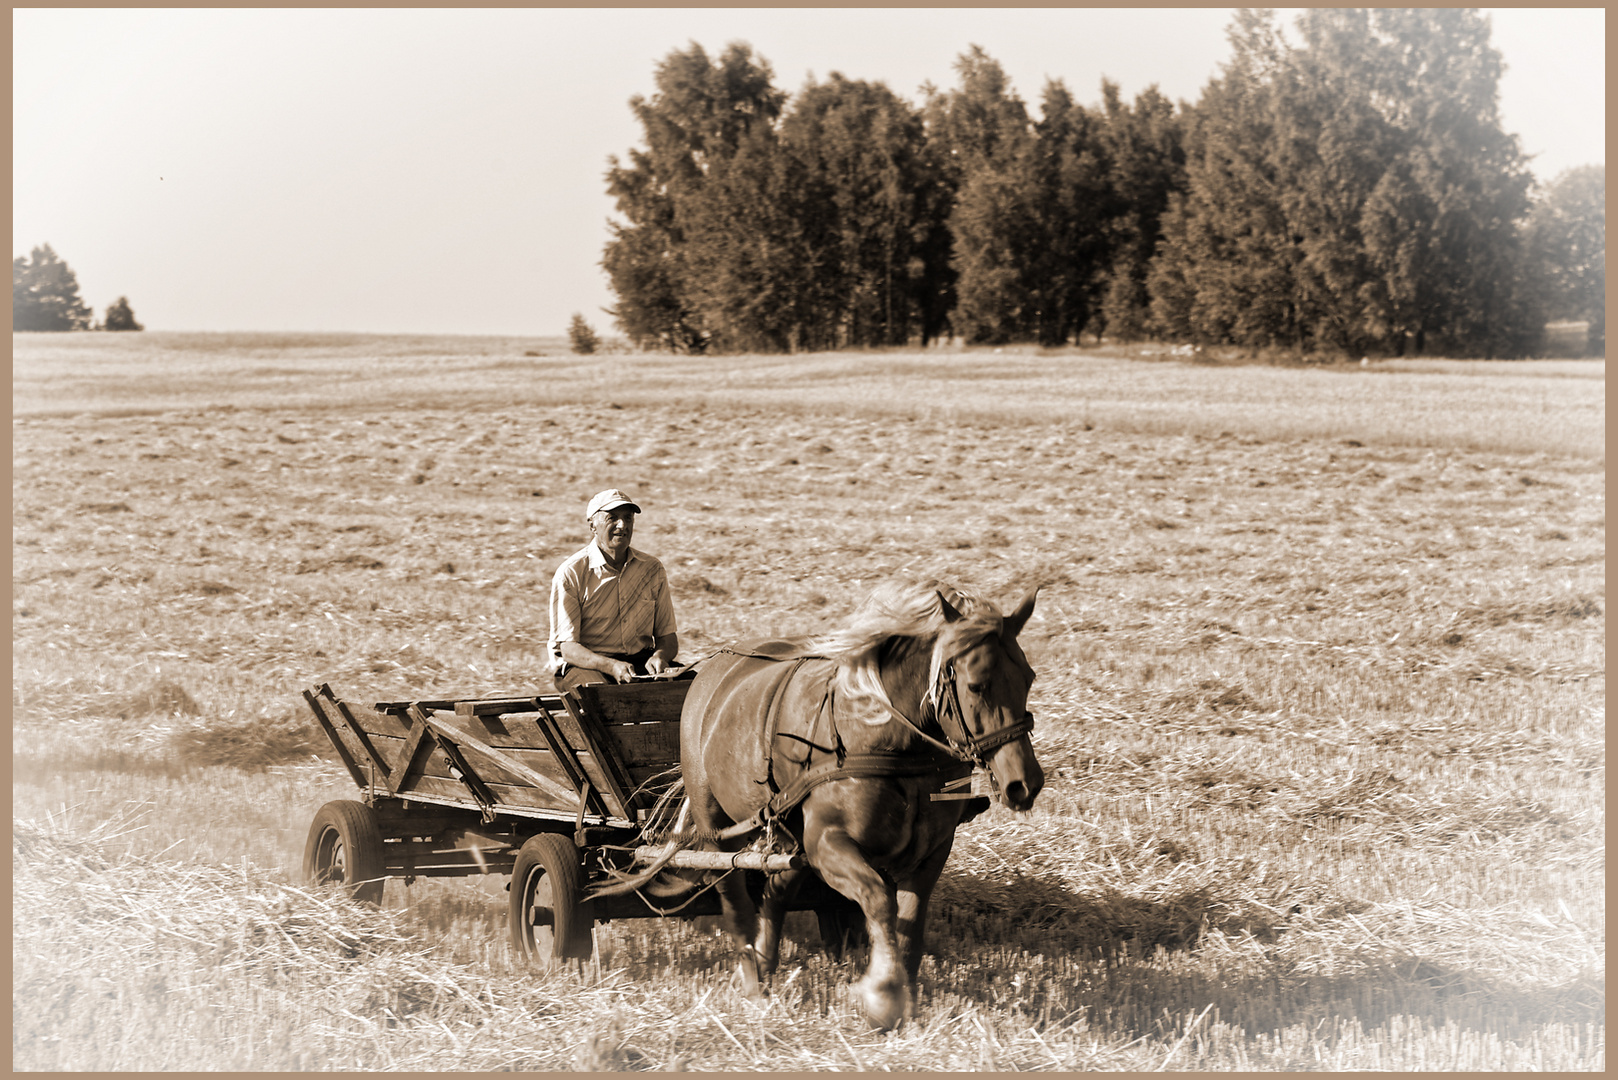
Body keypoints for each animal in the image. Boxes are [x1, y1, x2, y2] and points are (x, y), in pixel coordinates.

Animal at [676, 579, 1041, 1029]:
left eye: (1028, 677)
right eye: (976, 685)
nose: (1024, 784)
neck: (885, 738)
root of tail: (712, 669)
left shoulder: (931, 850)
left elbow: (910, 923)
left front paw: (909, 1000)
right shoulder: (828, 843)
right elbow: (879, 900)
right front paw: (883, 992)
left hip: (790, 837)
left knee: (776, 891)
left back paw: (764, 962)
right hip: (716, 827)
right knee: (734, 896)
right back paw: (751, 976)